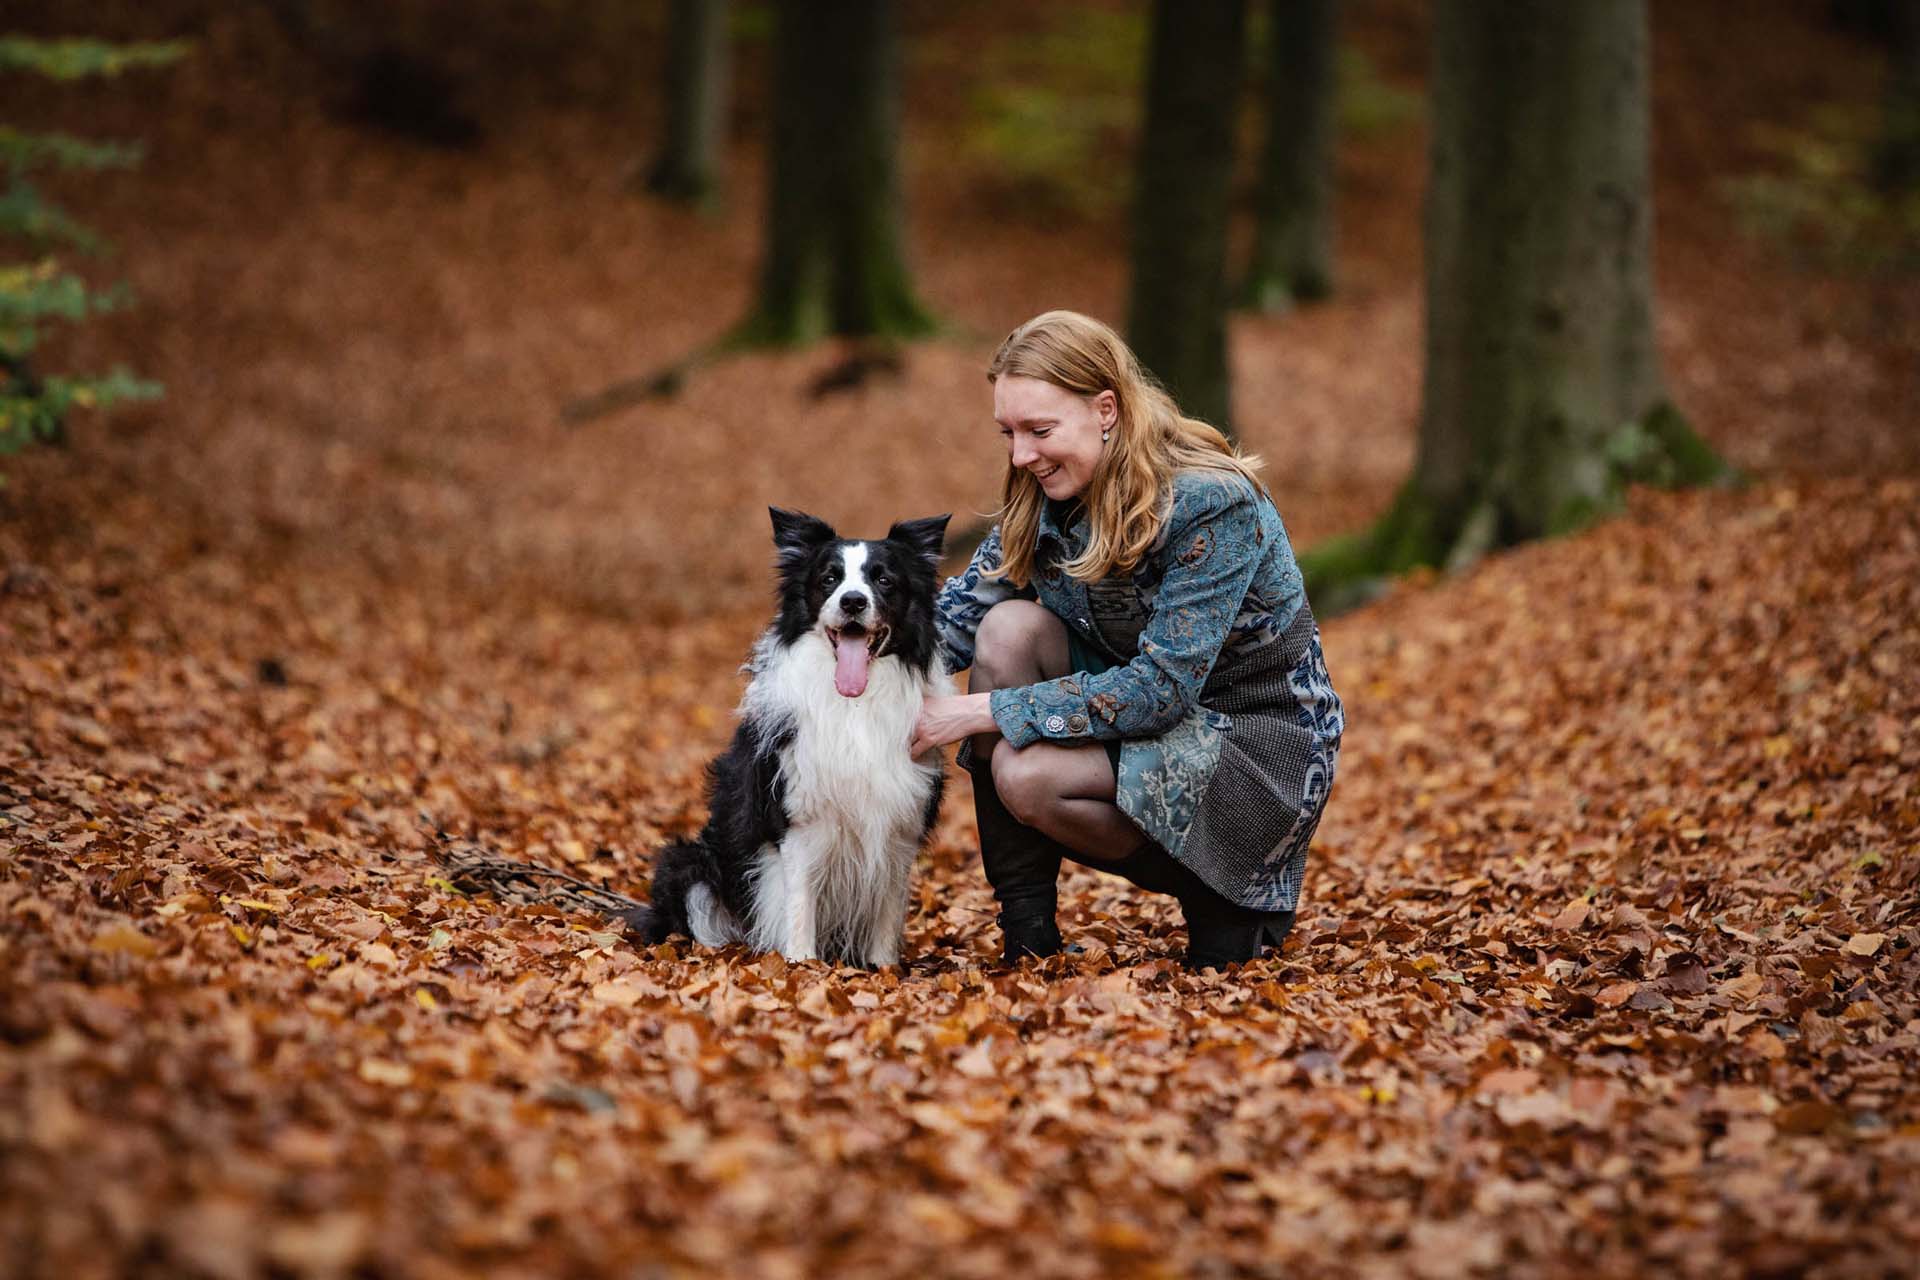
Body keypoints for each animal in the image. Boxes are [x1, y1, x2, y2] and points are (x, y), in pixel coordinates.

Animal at [629, 506, 952, 967]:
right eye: (830, 578)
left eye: (884, 580)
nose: (853, 601)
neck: (854, 704)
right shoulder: (797, 822)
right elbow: (799, 905)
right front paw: (801, 966)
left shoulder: (901, 828)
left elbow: (888, 915)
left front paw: (883, 969)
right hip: (687, 864)